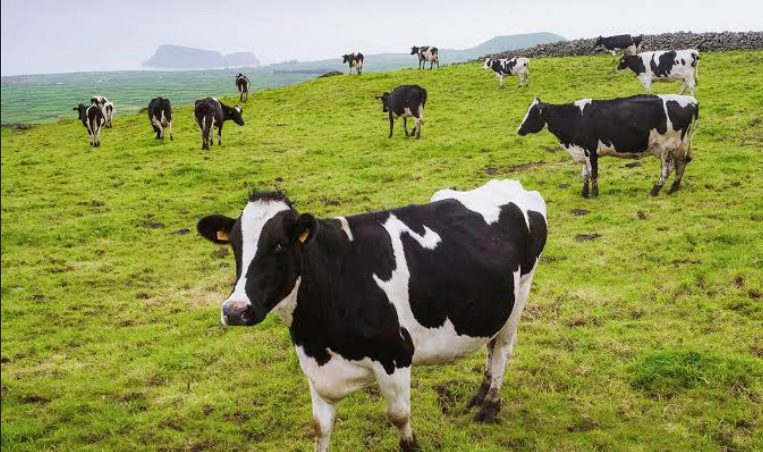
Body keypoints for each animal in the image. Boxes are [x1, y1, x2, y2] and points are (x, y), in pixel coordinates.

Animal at [196, 179, 548, 452]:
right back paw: (479, 395)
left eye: (280, 244)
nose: (235, 310)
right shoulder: (315, 368)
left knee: (502, 348)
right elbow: (319, 428)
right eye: (235, 246)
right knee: (490, 344)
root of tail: (511, 185)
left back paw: (490, 405)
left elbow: (400, 419)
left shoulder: (395, 357)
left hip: (521, 292)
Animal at [517, 95, 699, 197]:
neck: (574, 117)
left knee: (667, 169)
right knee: (681, 165)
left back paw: (655, 191)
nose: (519, 129)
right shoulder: (583, 150)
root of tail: (691, 101)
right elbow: (585, 173)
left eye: (533, 113)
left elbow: (594, 173)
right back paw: (673, 189)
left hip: (666, 146)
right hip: (679, 145)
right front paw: (584, 193)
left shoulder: (590, 149)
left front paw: (594, 194)